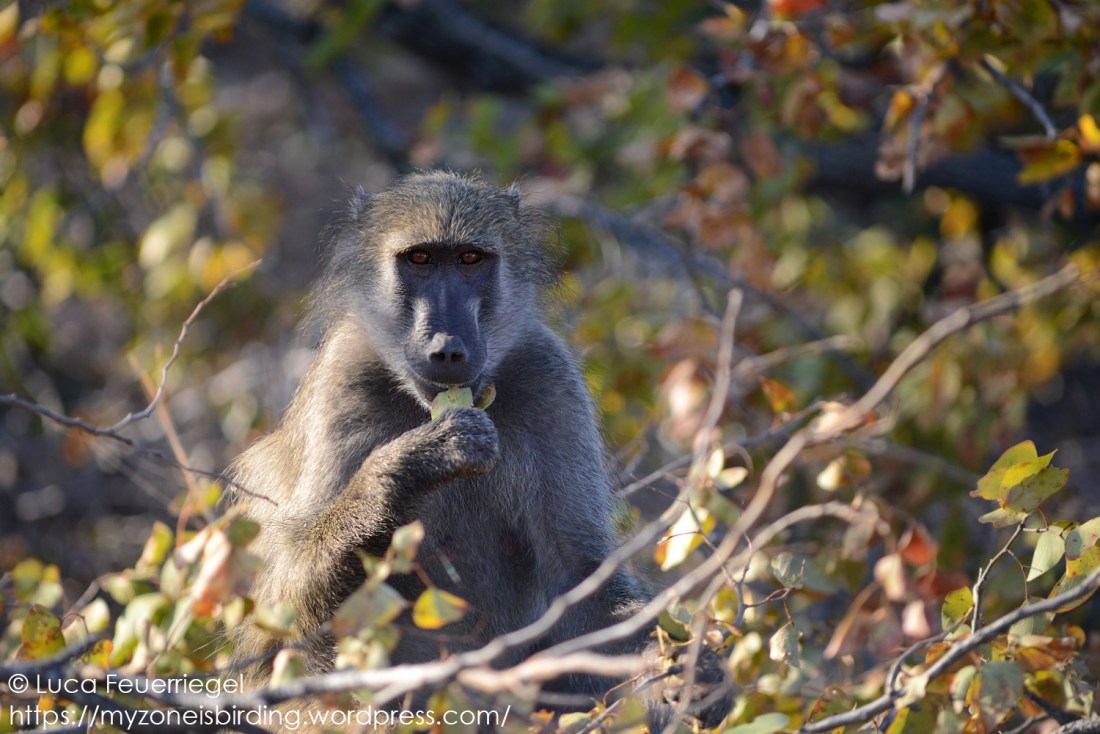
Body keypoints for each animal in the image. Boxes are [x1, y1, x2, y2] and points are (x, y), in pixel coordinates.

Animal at [227, 171, 731, 729]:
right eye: (420, 259)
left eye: (470, 259)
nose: (448, 349)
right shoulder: (344, 378)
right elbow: (282, 618)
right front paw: (413, 464)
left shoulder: (549, 376)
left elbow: (581, 585)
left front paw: (686, 670)